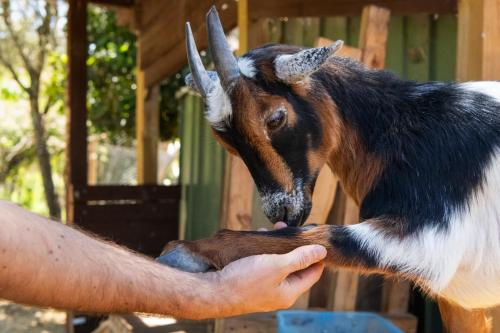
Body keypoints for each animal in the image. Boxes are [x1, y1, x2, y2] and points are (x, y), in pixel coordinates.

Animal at [158, 5, 500, 332]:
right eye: (227, 143)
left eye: (276, 118)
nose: (280, 210)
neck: (406, 128)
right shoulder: (460, 300)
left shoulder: (431, 238)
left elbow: (322, 232)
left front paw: (187, 250)